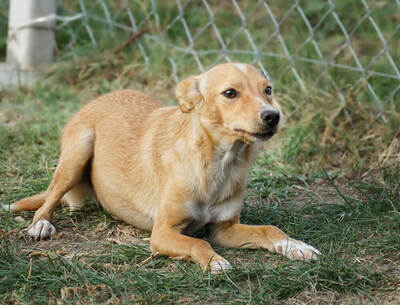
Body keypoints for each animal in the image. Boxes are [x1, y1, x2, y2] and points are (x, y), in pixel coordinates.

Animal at [3, 63, 318, 272]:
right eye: (230, 93)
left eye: (268, 89)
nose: (273, 116)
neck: (219, 164)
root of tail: (95, 100)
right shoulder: (162, 233)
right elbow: (198, 244)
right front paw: (214, 261)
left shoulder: (224, 229)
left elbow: (269, 229)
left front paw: (295, 245)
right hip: (78, 150)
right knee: (49, 200)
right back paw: (41, 224)